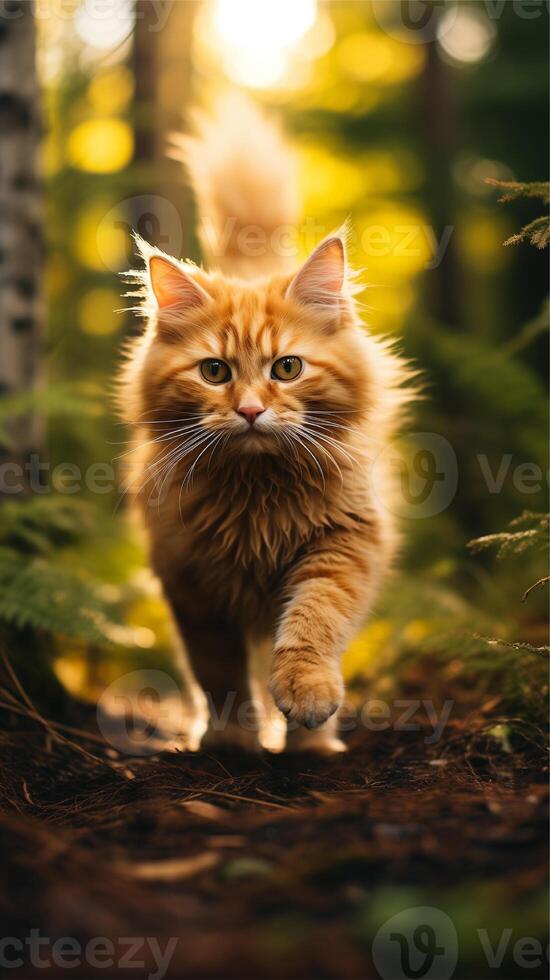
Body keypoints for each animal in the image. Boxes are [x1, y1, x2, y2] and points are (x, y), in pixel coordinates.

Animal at [121, 95, 414, 756]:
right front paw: (231, 740)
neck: (257, 498)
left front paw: (307, 700)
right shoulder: (192, 582)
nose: (251, 410)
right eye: (214, 371)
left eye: (287, 367)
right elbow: (218, 673)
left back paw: (316, 746)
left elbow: (314, 623)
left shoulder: (343, 545)